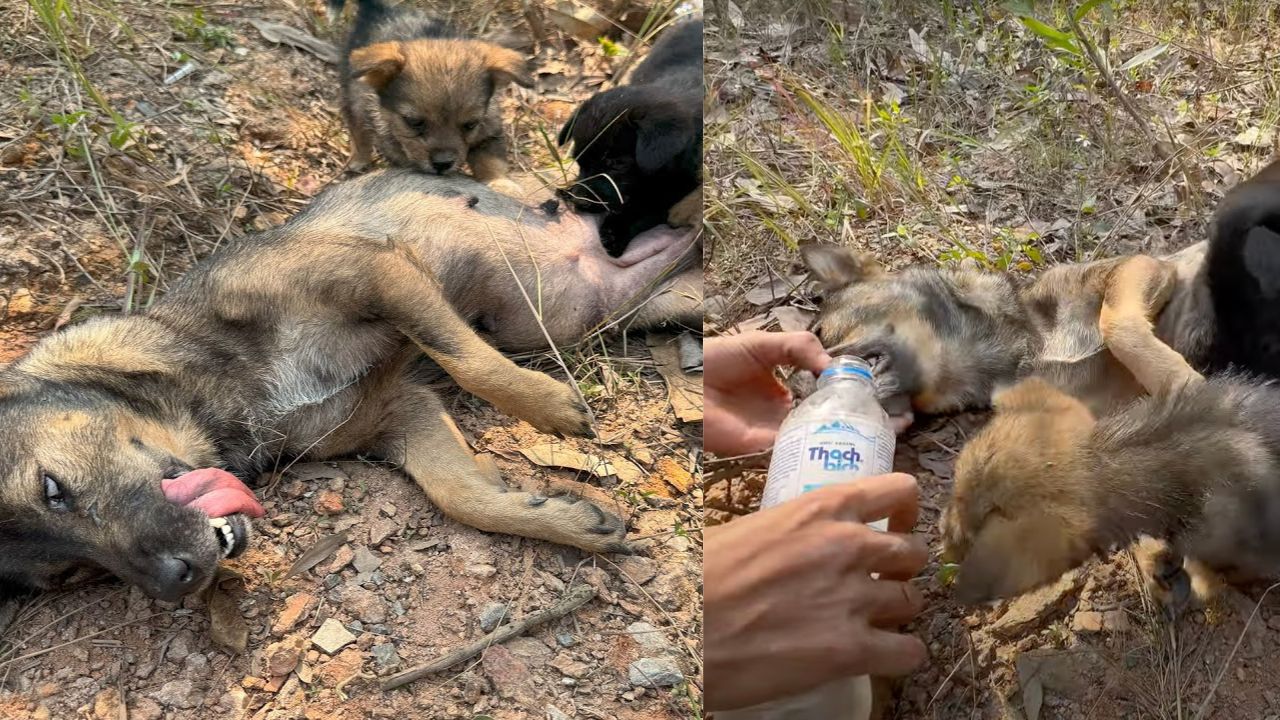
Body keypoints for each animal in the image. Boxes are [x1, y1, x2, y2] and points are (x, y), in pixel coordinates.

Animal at [0, 169, 701, 599]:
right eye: (70, 575)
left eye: (52, 489)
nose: (179, 583)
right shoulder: (401, 412)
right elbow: (462, 495)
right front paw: (563, 519)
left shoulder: (376, 274)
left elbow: (466, 358)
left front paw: (549, 407)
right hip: (615, 309)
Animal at [555, 17, 706, 254]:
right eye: (578, 161)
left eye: (616, 165)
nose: (580, 202)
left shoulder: (681, 184)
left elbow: (646, 207)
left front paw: (614, 231)